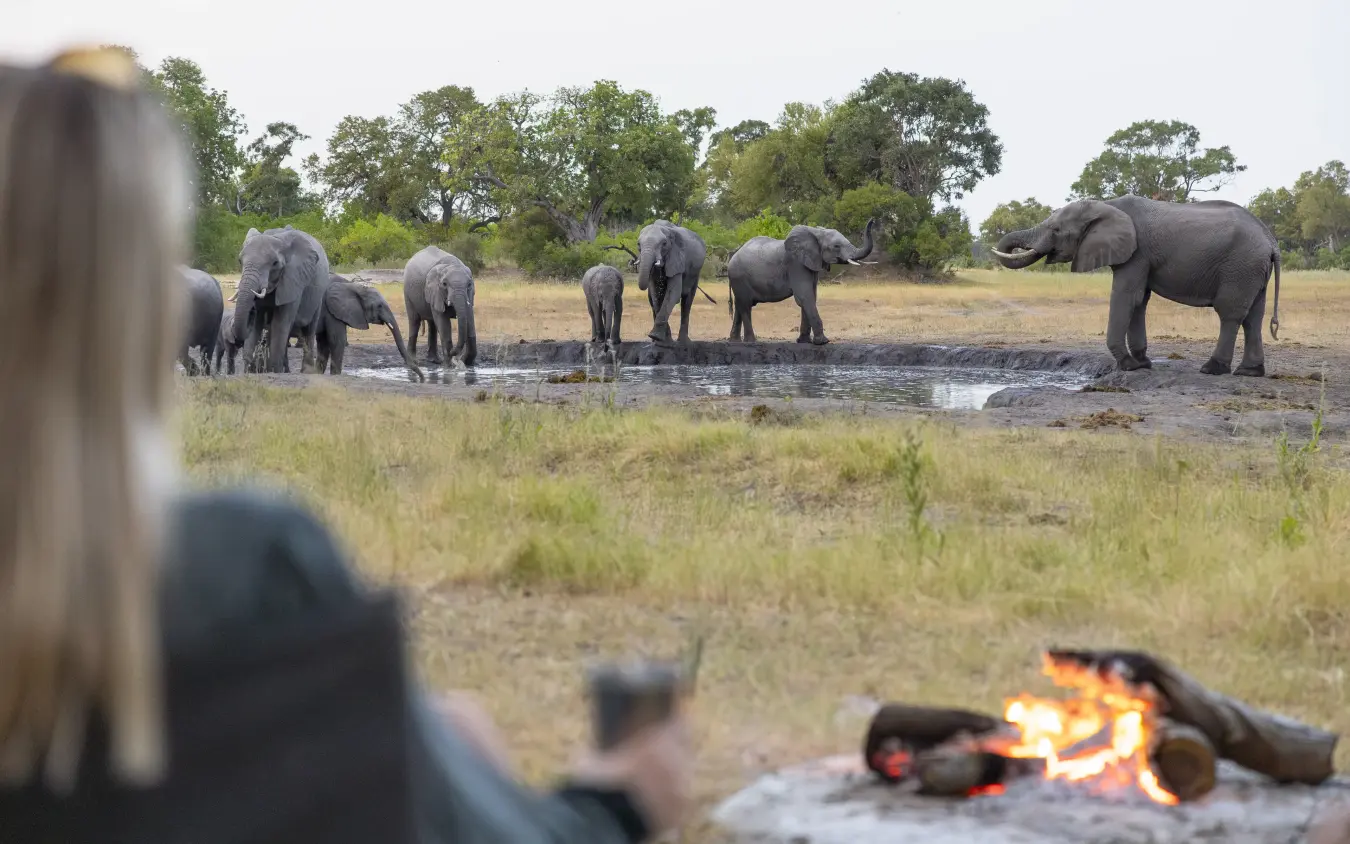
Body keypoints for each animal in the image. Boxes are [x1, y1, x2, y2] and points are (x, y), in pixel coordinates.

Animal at [230, 226, 331, 374]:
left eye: (275, 263)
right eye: (239, 261)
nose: (251, 311)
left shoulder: (294, 280)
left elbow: (280, 323)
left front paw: (275, 370)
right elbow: (257, 324)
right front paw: (250, 371)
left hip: (319, 295)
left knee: (309, 329)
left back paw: (305, 371)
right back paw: (285, 370)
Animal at [727, 219, 875, 344]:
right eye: (836, 246)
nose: (872, 220)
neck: (816, 233)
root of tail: (732, 257)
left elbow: (811, 297)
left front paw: (804, 341)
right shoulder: (796, 264)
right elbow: (805, 296)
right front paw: (822, 342)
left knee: (740, 305)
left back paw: (734, 341)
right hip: (738, 277)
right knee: (745, 305)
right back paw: (751, 341)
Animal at [991, 196, 1282, 376]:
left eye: (1056, 230)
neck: (1106, 205)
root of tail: (1271, 242)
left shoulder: (1137, 252)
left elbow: (1126, 296)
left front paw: (1129, 365)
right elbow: (1140, 300)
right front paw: (1143, 363)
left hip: (1240, 266)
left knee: (1230, 313)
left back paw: (1212, 369)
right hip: (1253, 270)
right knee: (1253, 317)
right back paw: (1249, 372)